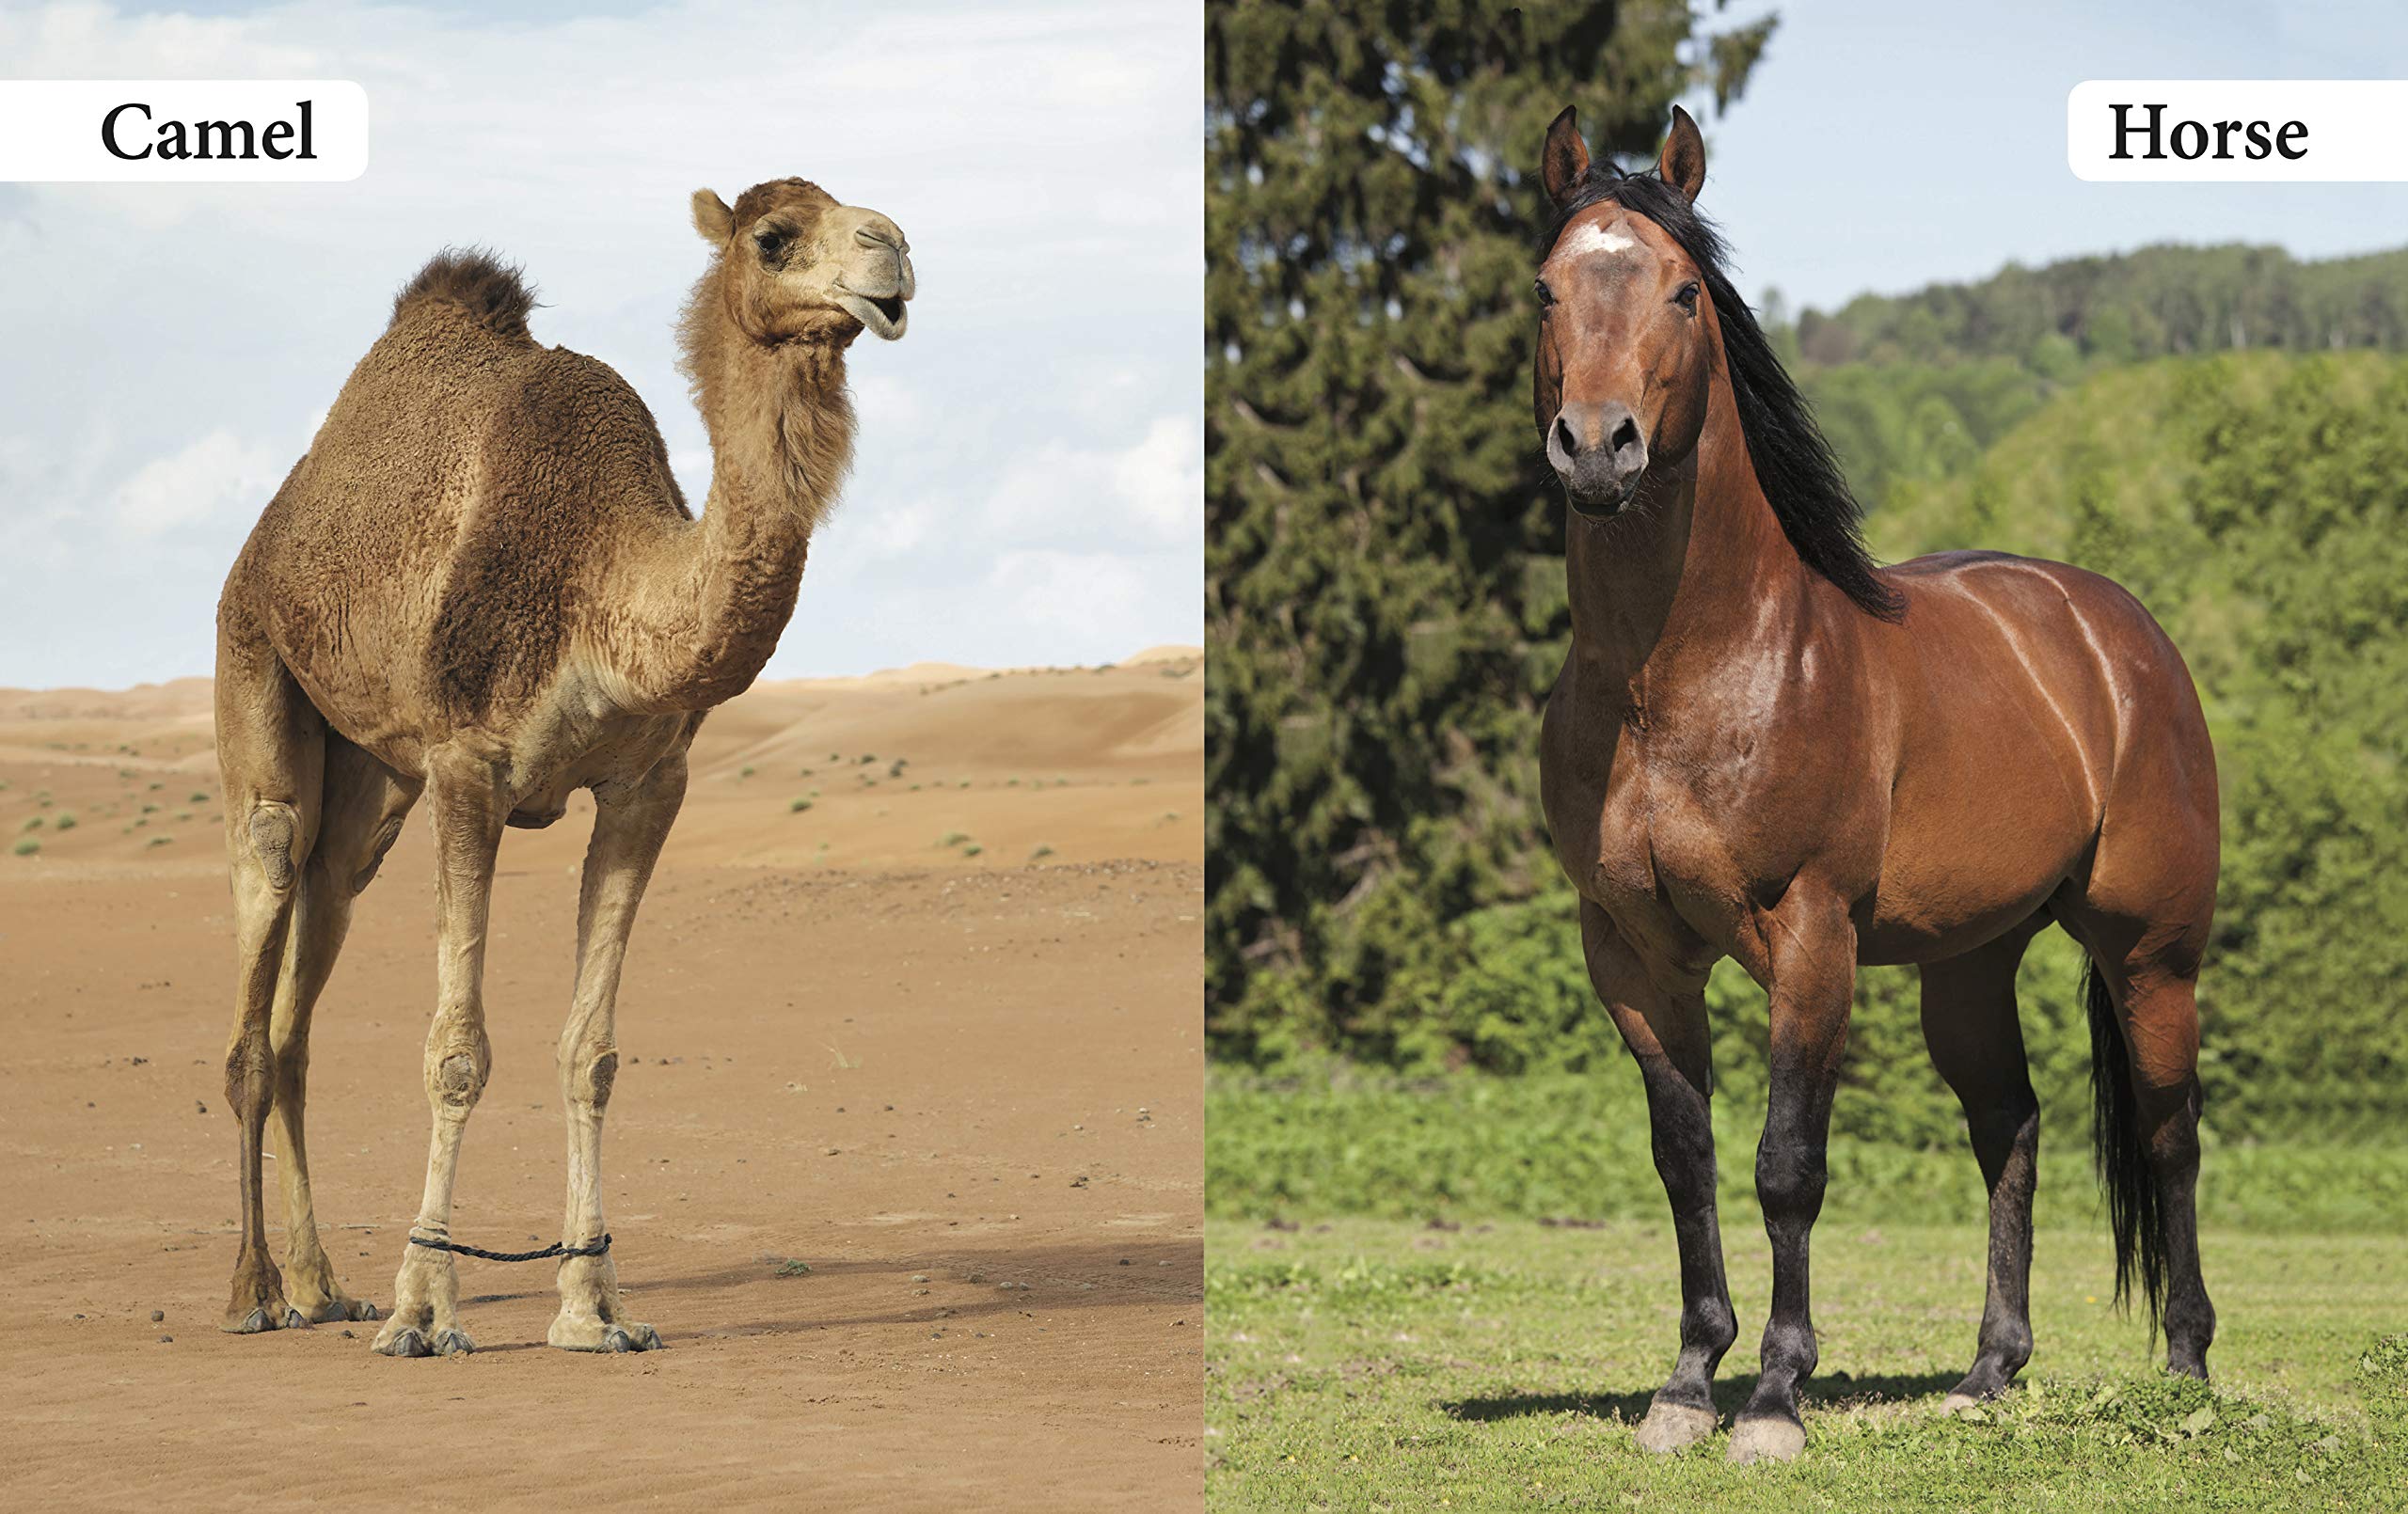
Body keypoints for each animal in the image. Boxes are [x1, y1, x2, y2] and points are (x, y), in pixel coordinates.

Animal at [1528, 105, 2218, 1464]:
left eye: (1683, 290)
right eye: (1544, 288)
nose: (1596, 447)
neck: (1681, 677)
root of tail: (2119, 632)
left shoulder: (1811, 936)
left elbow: (1786, 1162)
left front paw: (1775, 1398)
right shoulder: (1629, 949)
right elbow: (1684, 1156)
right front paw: (1686, 1384)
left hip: (2151, 952)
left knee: (2170, 1133)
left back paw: (2184, 1368)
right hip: (1971, 962)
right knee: (2010, 1124)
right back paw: (1989, 1370)